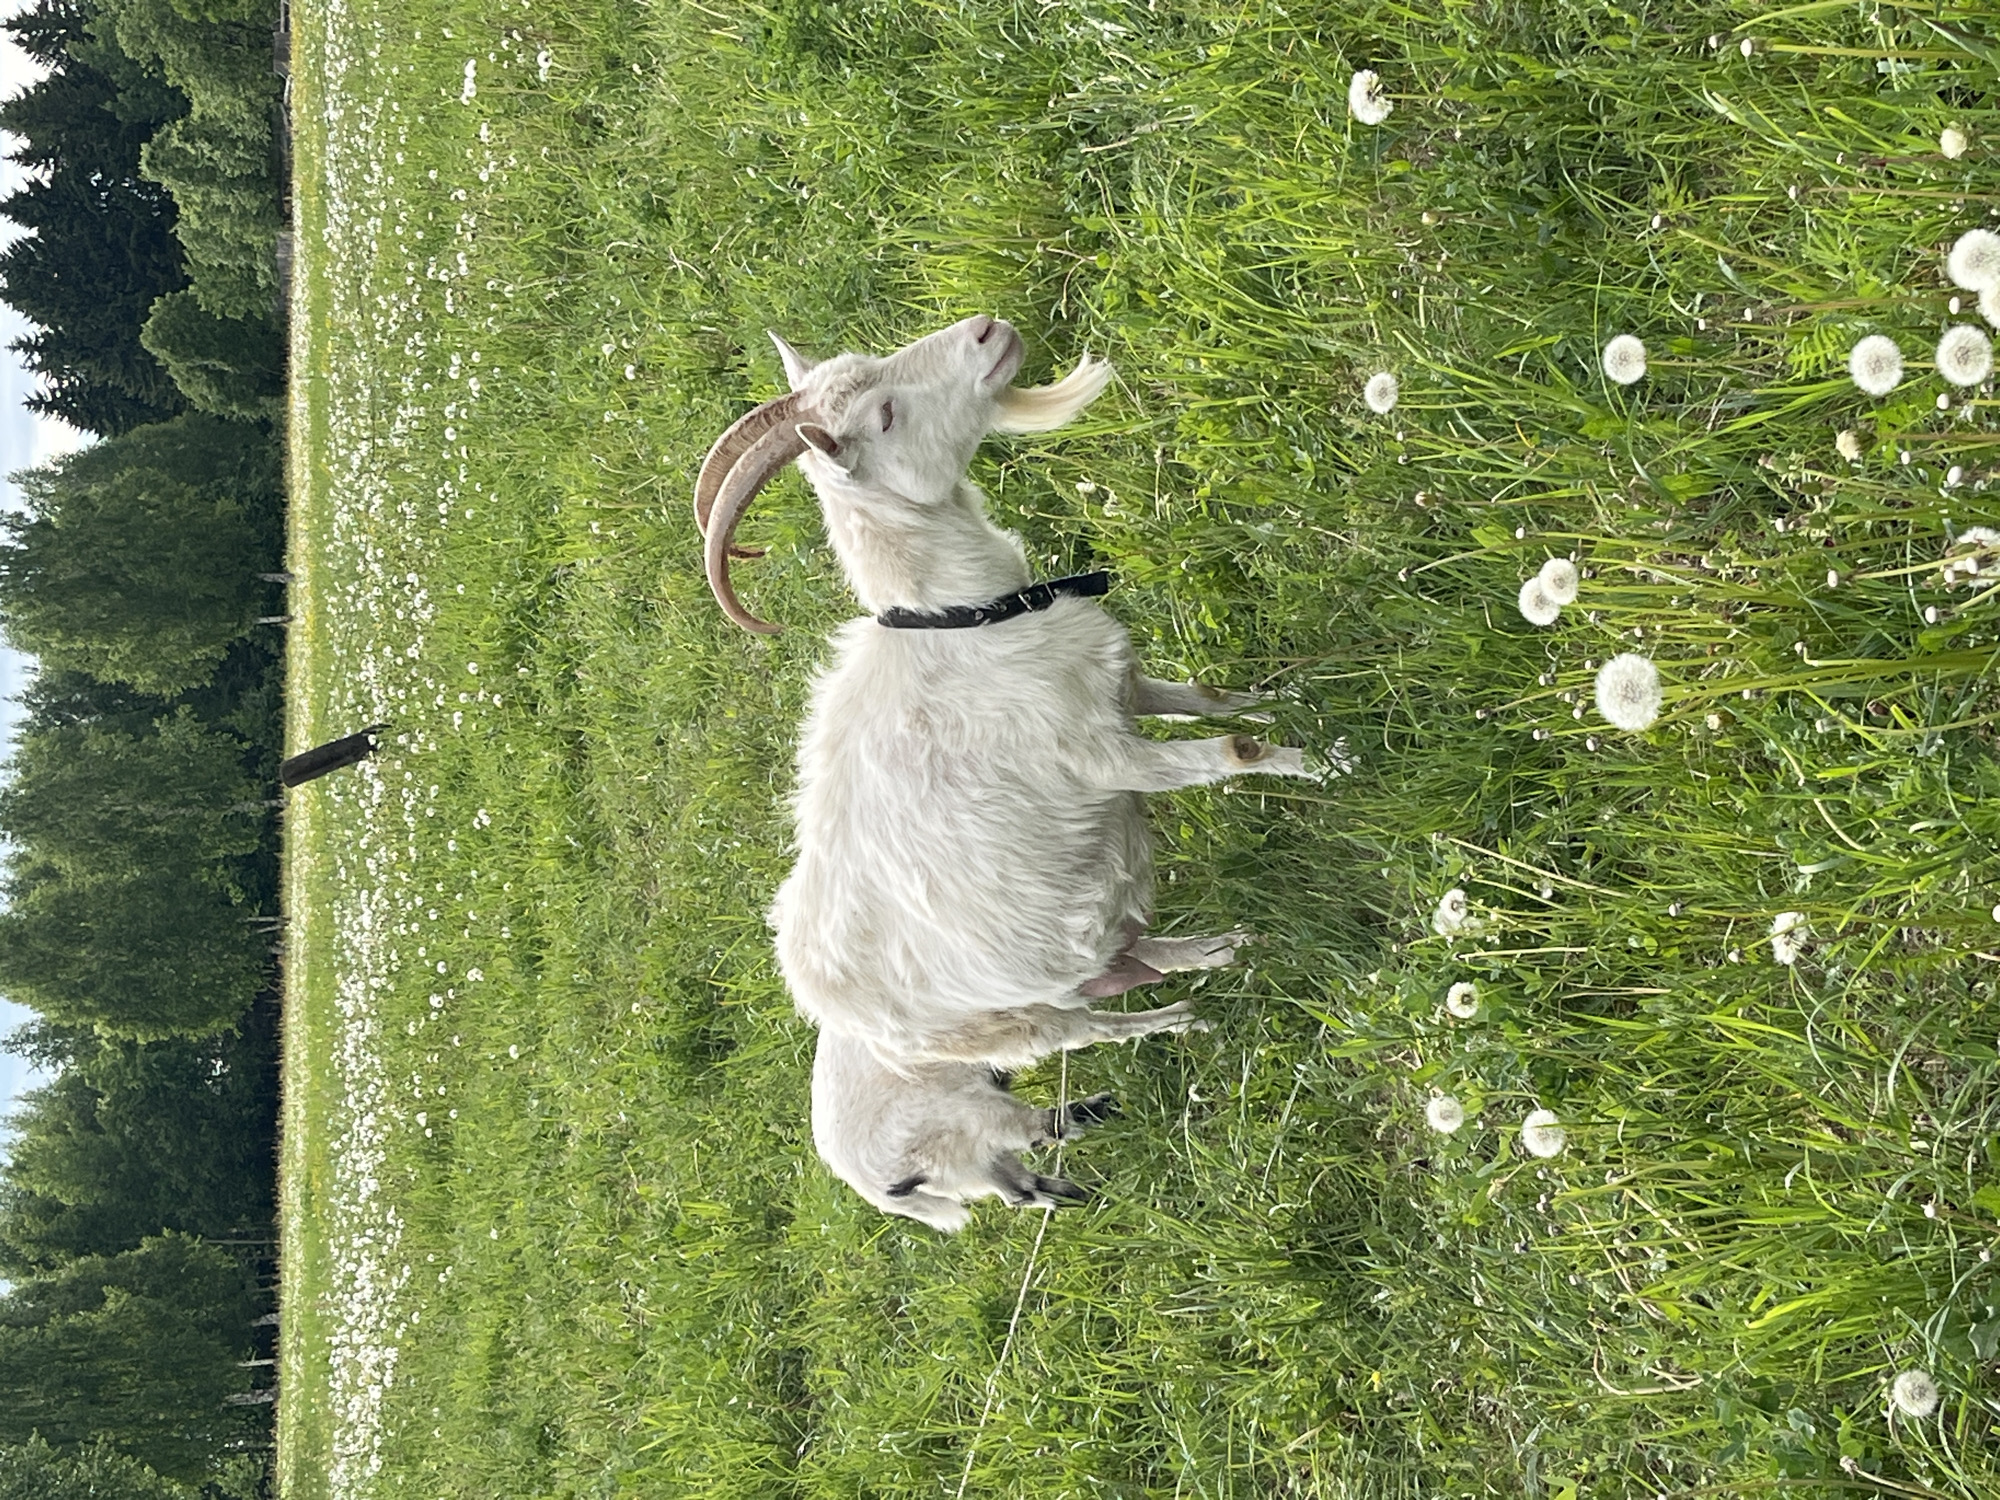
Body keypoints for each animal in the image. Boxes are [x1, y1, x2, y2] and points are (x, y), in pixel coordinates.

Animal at [696, 315, 1316, 1222]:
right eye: (884, 416)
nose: (986, 330)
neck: (967, 623)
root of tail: (820, 1003)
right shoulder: (1105, 756)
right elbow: (1234, 754)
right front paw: (1330, 762)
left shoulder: (1119, 689)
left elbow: (1210, 698)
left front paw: (1295, 698)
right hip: (1010, 1026)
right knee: (1086, 1027)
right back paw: (1182, 1018)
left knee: (1126, 959)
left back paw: (1218, 949)